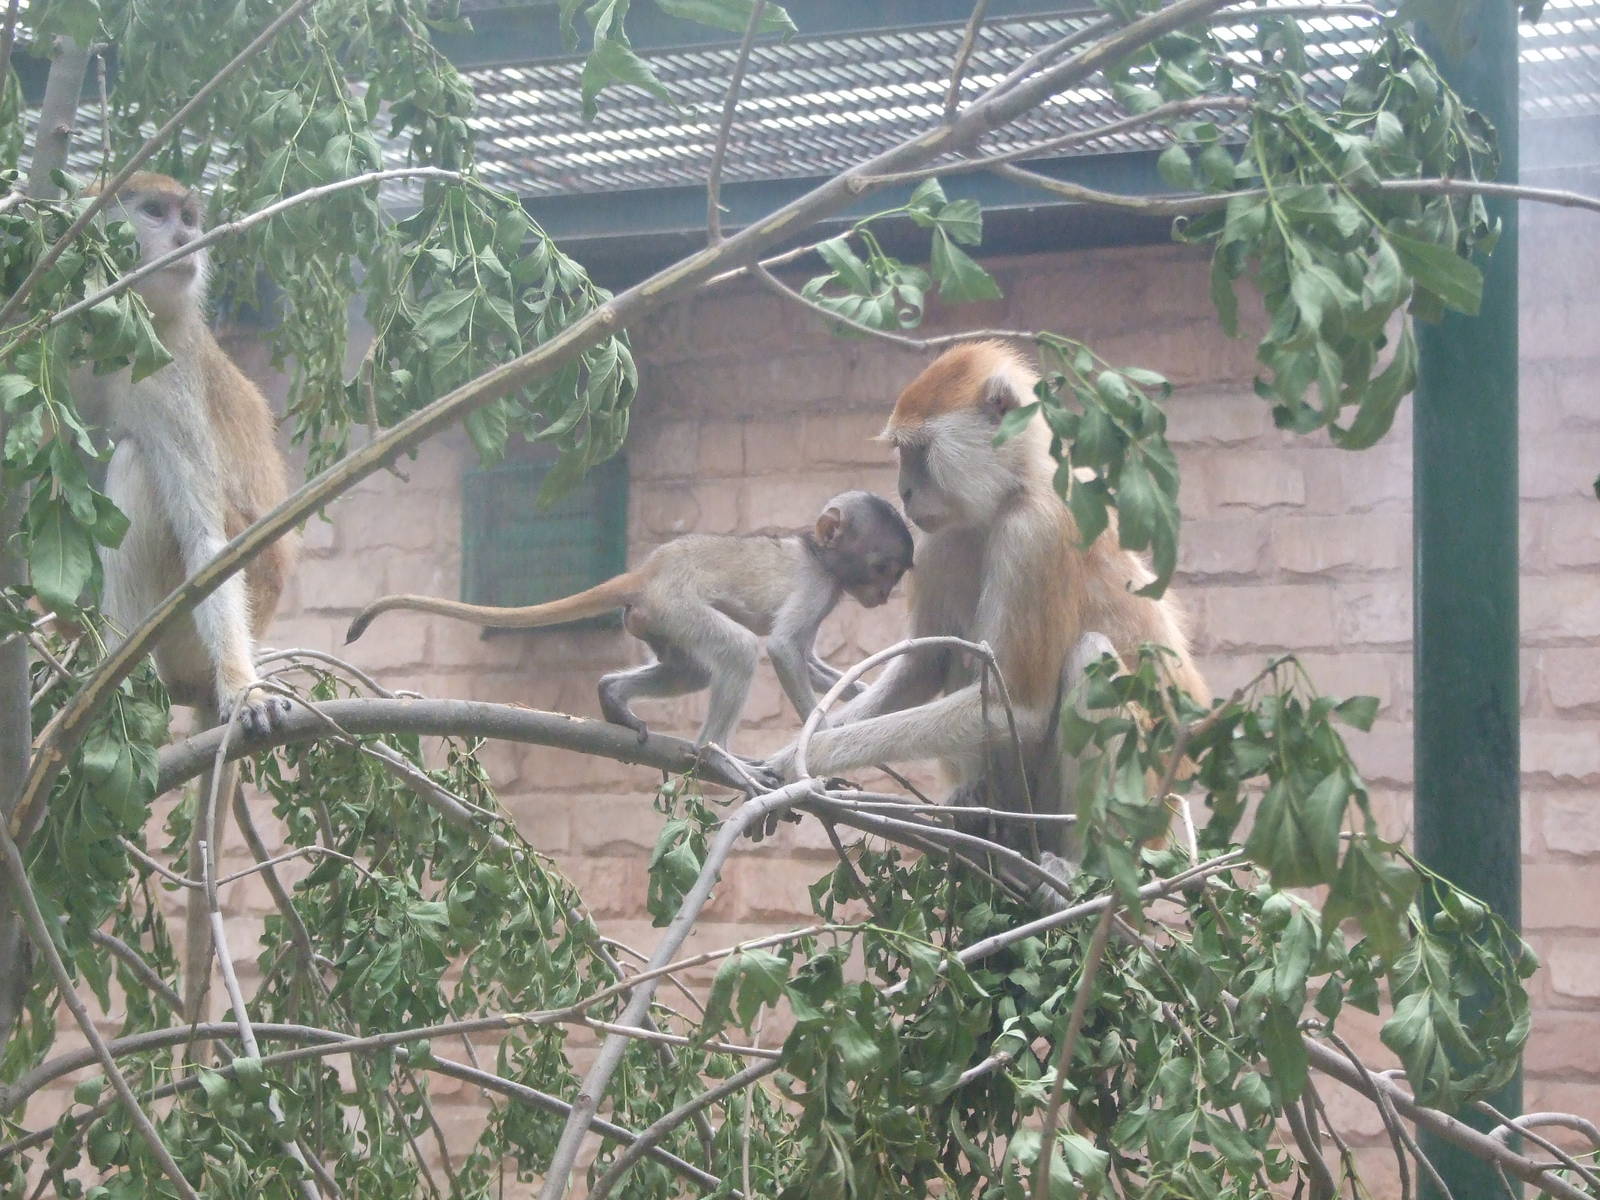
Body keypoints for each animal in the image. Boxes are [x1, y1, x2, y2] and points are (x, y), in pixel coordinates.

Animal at [70, 172, 299, 1033]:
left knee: (136, 466)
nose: (187, 239)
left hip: (183, 633)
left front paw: (247, 693)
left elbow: (207, 543)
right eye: (155, 212)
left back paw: (117, 670)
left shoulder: (164, 372)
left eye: (189, 216)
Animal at [346, 490, 914, 753]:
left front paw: (860, 695)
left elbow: (810, 660)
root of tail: (649, 571)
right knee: (735, 650)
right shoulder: (816, 584)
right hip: (675, 604)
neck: (819, 554)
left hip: (654, 619)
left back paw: (613, 696)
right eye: (882, 568)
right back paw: (714, 754)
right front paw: (818, 739)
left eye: (895, 575)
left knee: (695, 669)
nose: (886, 595)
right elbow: (781, 649)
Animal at [757, 341, 1209, 867]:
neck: (1015, 484)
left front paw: (806, 757)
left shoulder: (1036, 530)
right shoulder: (937, 539)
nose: (905, 491)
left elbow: (1024, 706)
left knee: (1092, 655)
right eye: (901, 451)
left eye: (919, 450)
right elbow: (924, 665)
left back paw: (1080, 866)